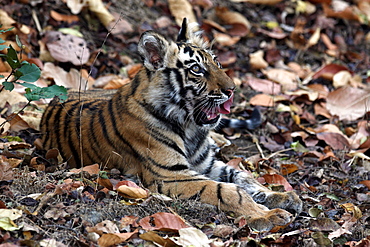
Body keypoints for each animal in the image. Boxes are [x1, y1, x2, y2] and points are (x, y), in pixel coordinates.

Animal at [40, 18, 302, 232]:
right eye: (196, 69)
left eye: (216, 62)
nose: (231, 90)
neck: (191, 128)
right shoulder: (170, 174)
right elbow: (229, 190)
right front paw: (267, 215)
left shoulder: (206, 164)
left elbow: (244, 177)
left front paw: (281, 196)